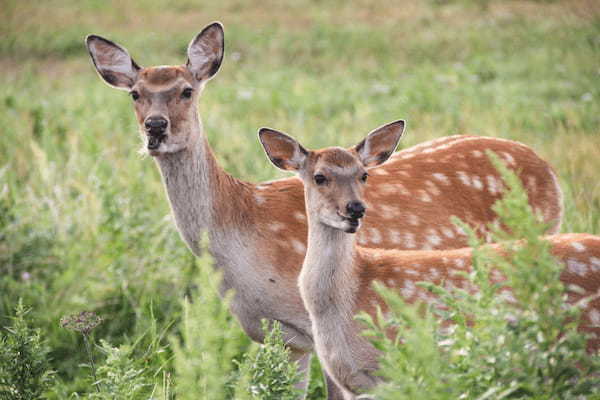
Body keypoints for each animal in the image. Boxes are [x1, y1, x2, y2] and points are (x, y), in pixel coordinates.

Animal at [86, 21, 564, 396]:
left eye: (187, 90)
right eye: (134, 94)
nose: (155, 128)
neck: (243, 231)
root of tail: (550, 170)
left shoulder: (319, 327)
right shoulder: (280, 336)